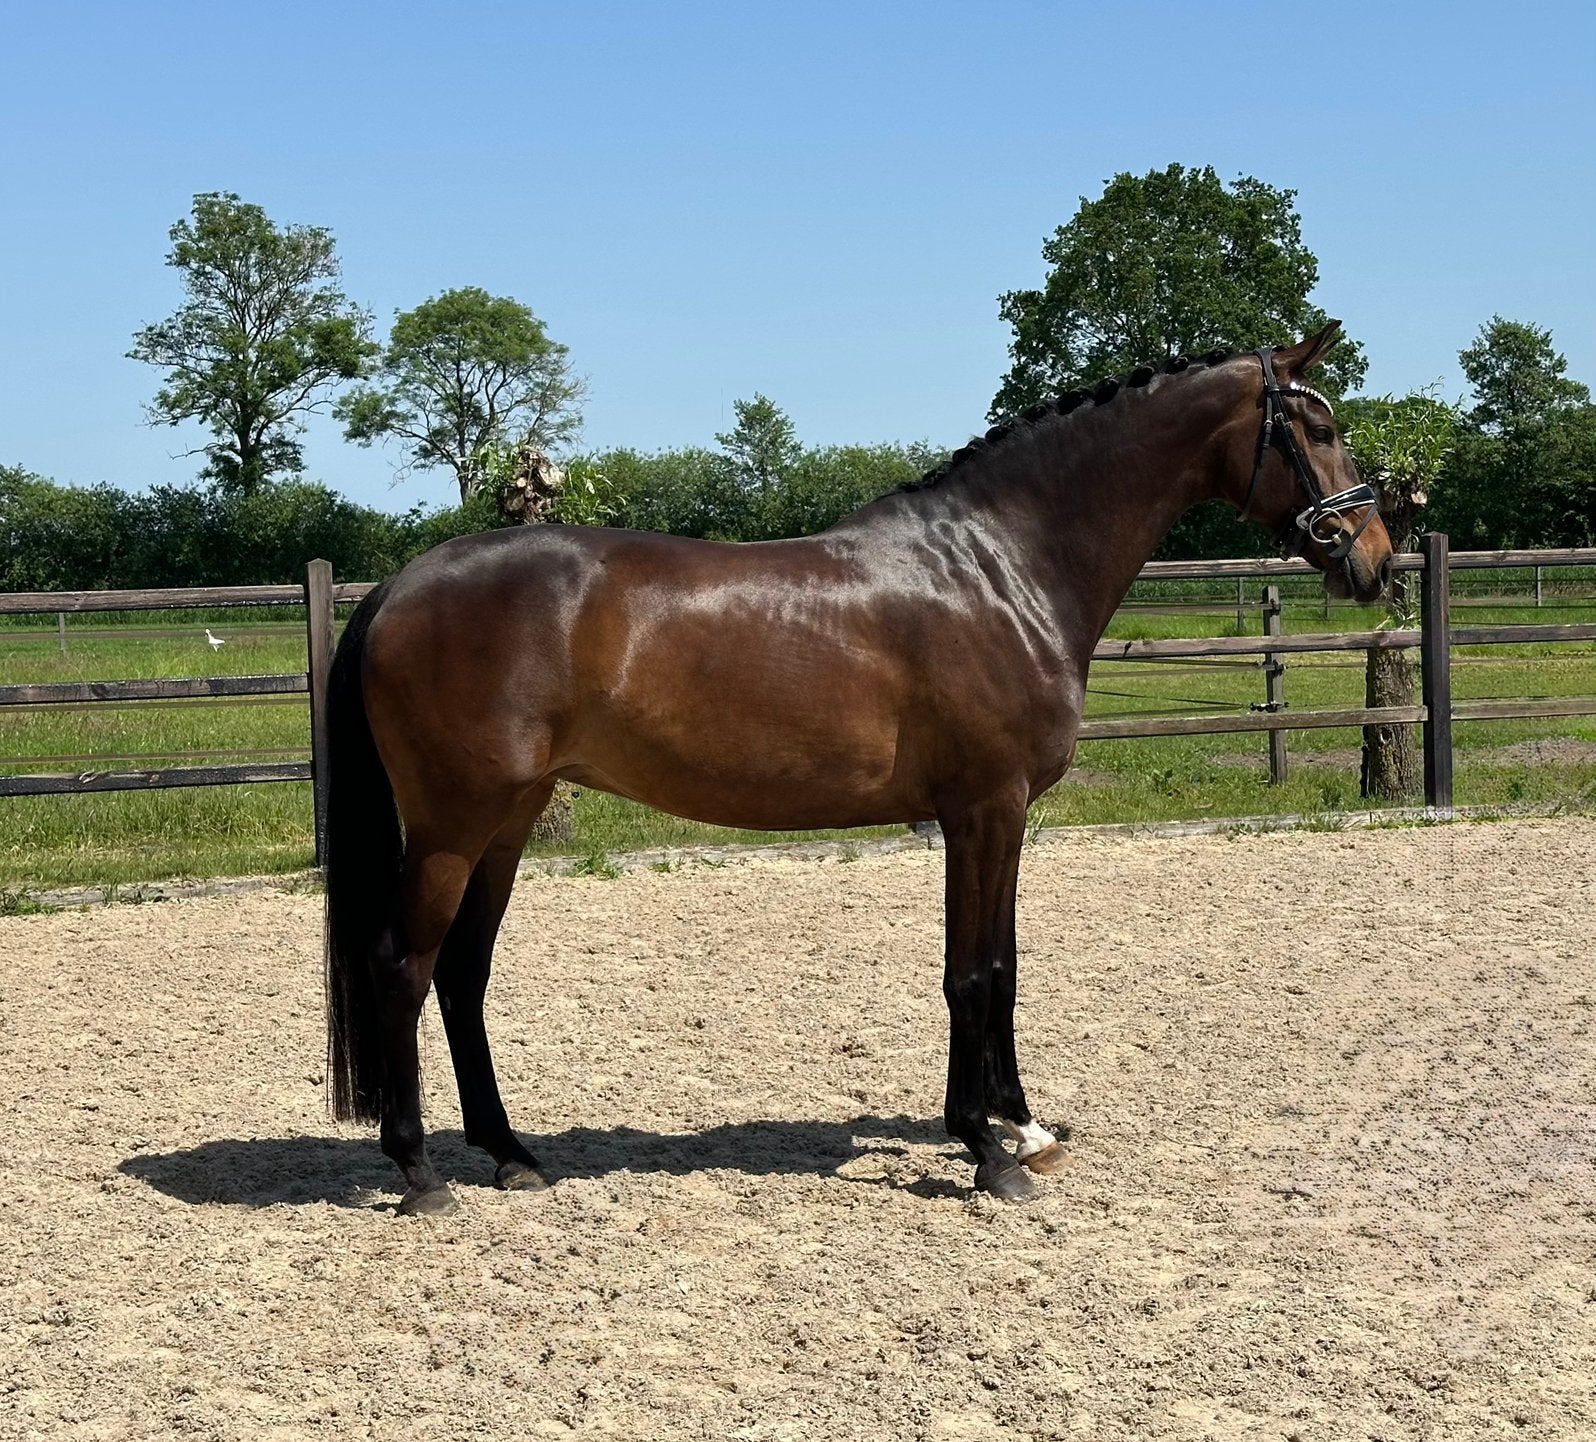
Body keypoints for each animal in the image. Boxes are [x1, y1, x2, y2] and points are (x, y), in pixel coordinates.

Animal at [323, 322, 1393, 1213]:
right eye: (1321, 426)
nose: (1374, 558)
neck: (999, 566)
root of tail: (399, 585)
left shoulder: (1006, 816)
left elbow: (1005, 965)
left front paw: (1022, 1123)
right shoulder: (982, 809)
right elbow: (970, 972)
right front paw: (985, 1150)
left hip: (508, 821)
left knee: (463, 974)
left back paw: (511, 1156)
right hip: (456, 825)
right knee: (404, 965)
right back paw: (420, 1173)